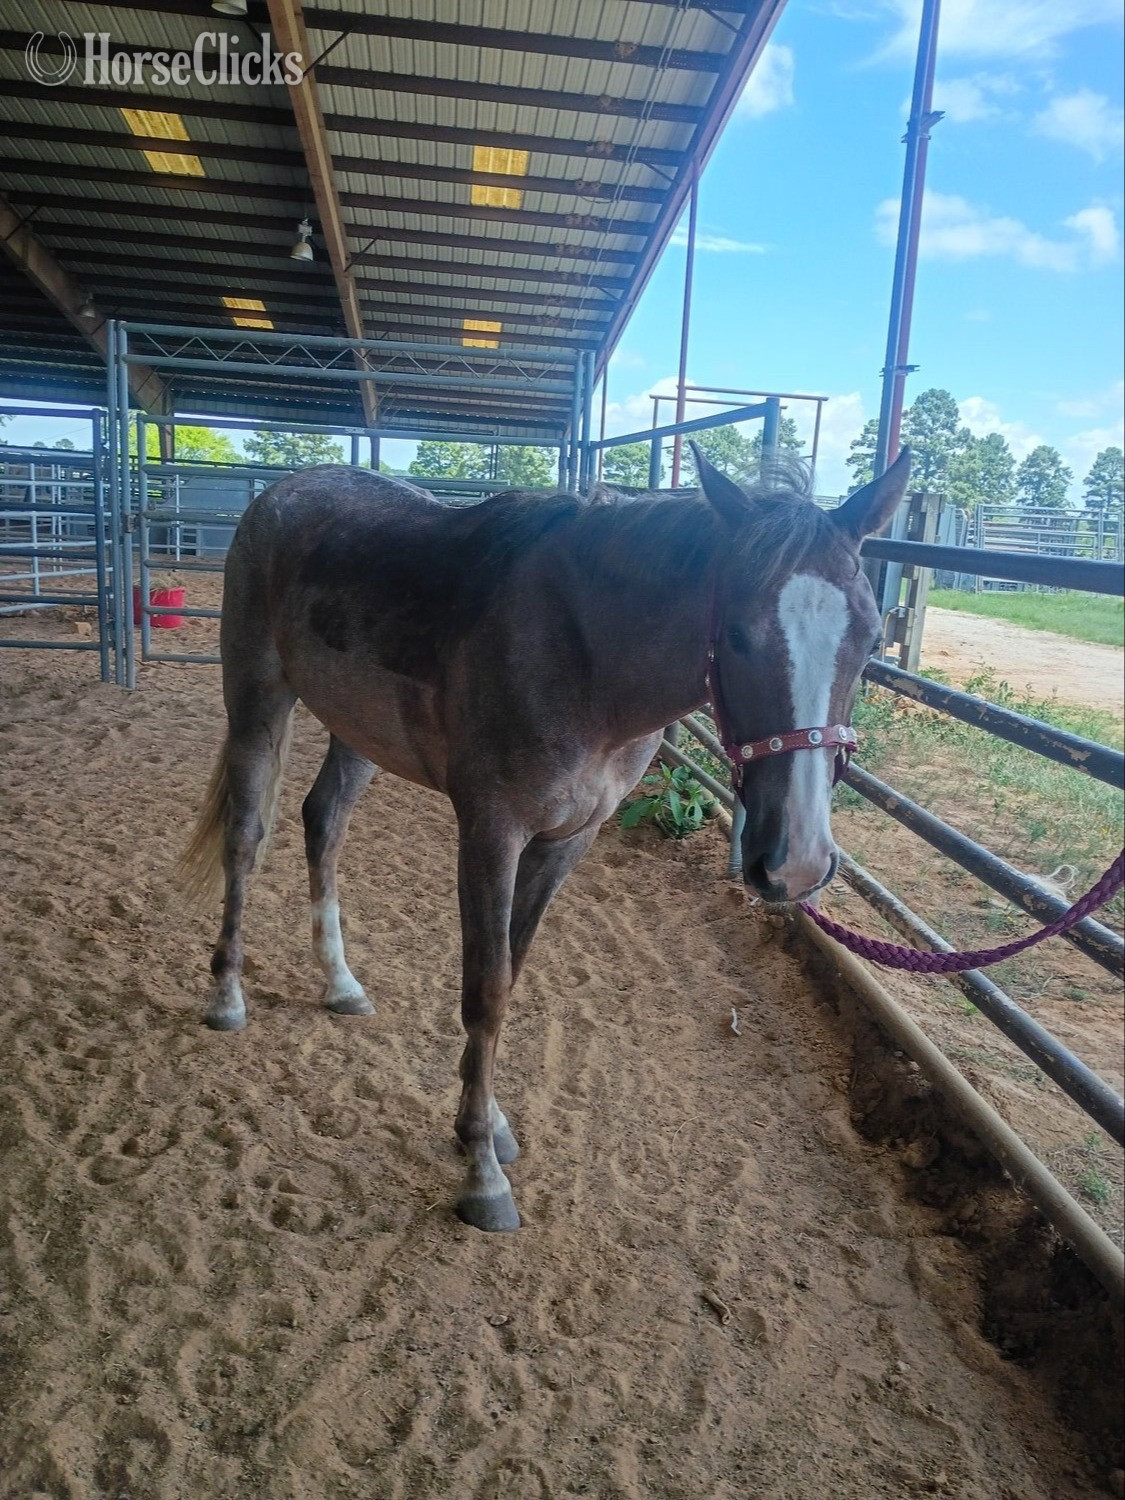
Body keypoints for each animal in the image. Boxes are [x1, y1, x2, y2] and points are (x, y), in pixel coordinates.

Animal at [179, 445, 912, 1232]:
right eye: (739, 635)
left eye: (870, 639)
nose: (796, 864)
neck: (583, 652)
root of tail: (281, 493)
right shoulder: (491, 832)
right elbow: (486, 987)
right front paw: (481, 1171)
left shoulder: (568, 840)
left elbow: (515, 967)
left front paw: (489, 1123)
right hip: (257, 699)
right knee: (246, 836)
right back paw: (227, 995)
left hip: (357, 731)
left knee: (324, 822)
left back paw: (340, 982)